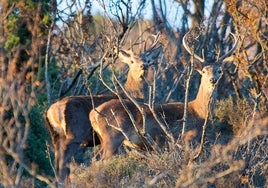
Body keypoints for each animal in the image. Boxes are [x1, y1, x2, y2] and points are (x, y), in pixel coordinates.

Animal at [44, 37, 161, 182]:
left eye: (148, 60)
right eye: (132, 61)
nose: (143, 66)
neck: (131, 94)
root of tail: (52, 111)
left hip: (56, 135)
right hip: (74, 132)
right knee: (64, 160)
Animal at [89, 32, 238, 159]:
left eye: (220, 70)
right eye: (204, 71)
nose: (213, 80)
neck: (198, 111)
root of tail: (93, 113)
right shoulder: (188, 138)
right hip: (113, 136)